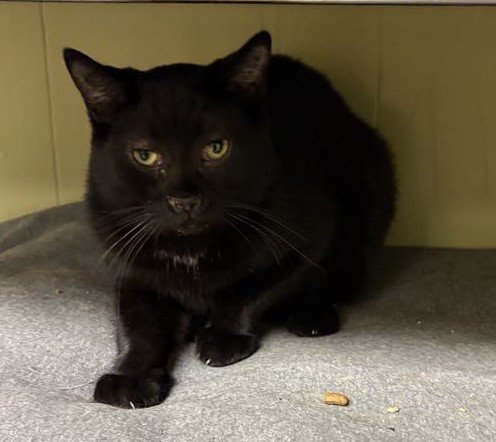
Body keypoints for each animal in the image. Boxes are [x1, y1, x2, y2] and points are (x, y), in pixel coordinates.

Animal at [64, 31, 396, 409]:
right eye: (144, 155)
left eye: (216, 148)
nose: (184, 200)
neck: (190, 249)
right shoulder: (131, 267)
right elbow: (138, 325)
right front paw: (129, 378)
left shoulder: (310, 237)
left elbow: (252, 287)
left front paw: (223, 337)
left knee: (339, 278)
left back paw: (312, 316)